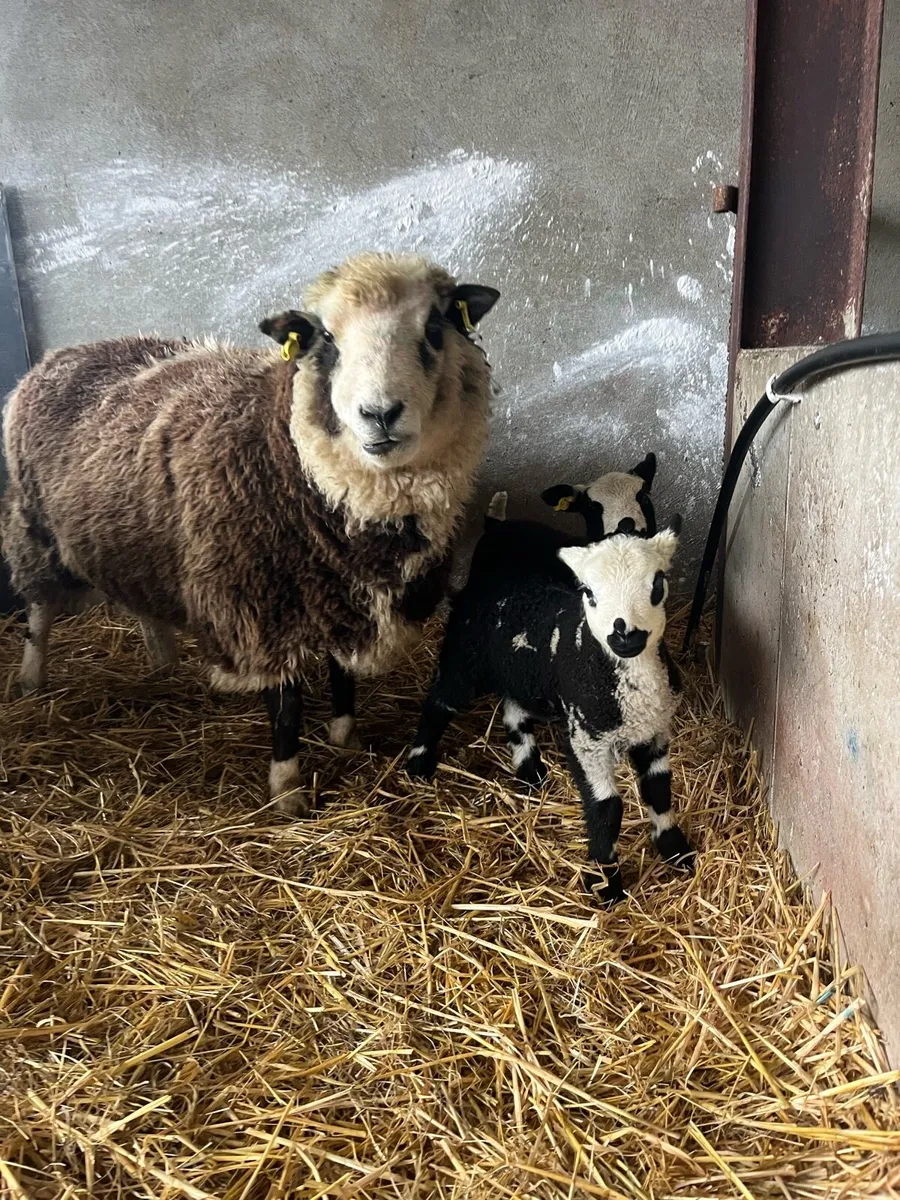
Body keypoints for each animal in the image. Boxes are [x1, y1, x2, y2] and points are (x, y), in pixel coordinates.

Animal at [1, 252, 500, 815]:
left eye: (434, 328)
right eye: (326, 339)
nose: (380, 414)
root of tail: (62, 354)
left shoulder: (338, 587)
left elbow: (342, 674)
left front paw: (345, 736)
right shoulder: (258, 604)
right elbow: (285, 705)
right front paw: (288, 791)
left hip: (132, 537)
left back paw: (163, 662)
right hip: (34, 527)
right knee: (38, 612)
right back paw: (30, 679)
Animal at [405, 506, 693, 902]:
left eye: (657, 584)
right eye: (588, 593)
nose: (626, 635)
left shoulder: (655, 732)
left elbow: (659, 790)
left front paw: (675, 849)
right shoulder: (585, 740)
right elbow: (606, 809)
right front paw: (606, 883)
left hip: (522, 671)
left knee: (513, 707)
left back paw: (528, 767)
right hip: (465, 654)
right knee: (440, 702)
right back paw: (418, 761)